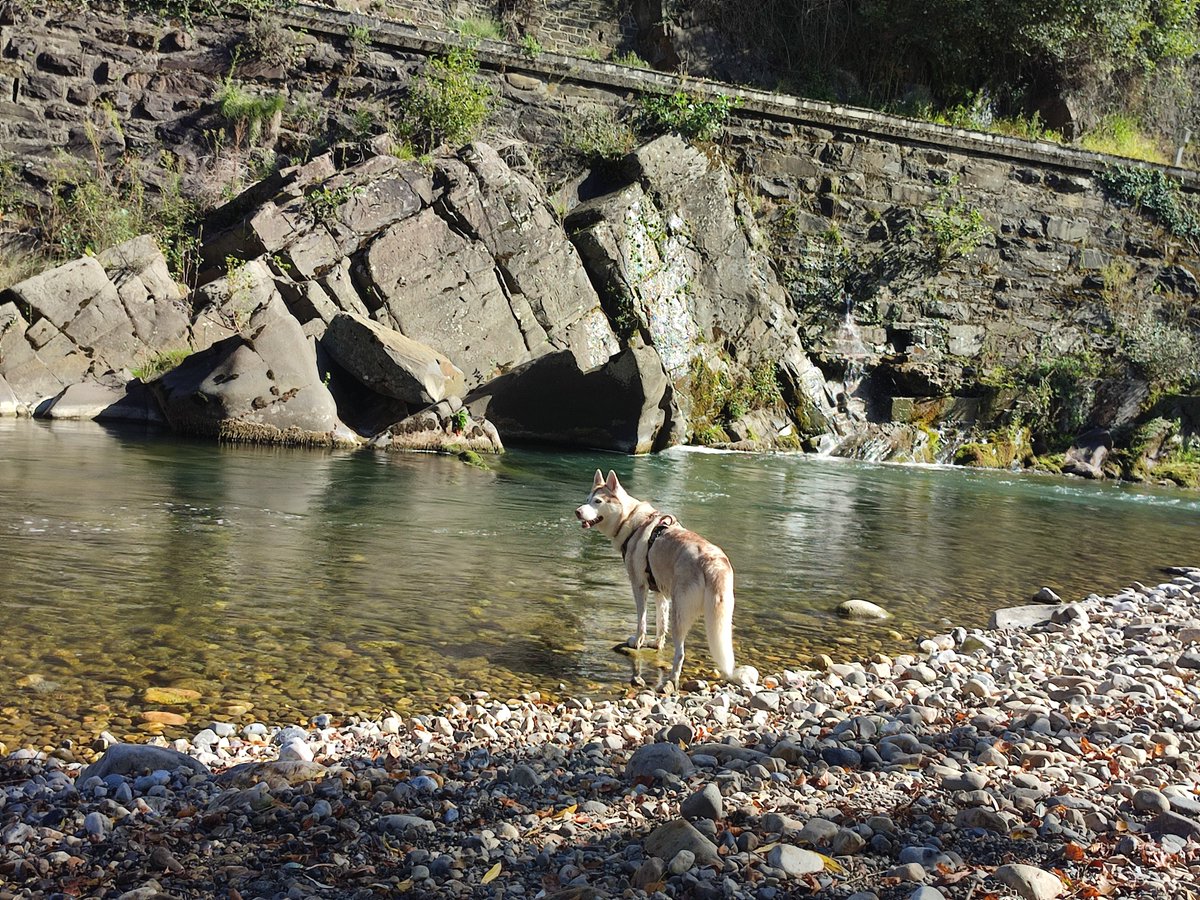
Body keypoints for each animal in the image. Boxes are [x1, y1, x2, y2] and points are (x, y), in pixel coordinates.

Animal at [576, 472, 753, 691]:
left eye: (598, 501)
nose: (577, 512)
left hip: (681, 612)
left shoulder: (639, 586)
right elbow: (661, 621)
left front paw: (637, 642)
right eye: (587, 500)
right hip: (722, 617)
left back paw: (672, 680)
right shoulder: (659, 591)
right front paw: (656, 643)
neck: (631, 522)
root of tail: (712, 561)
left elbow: (642, 620)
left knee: (681, 653)